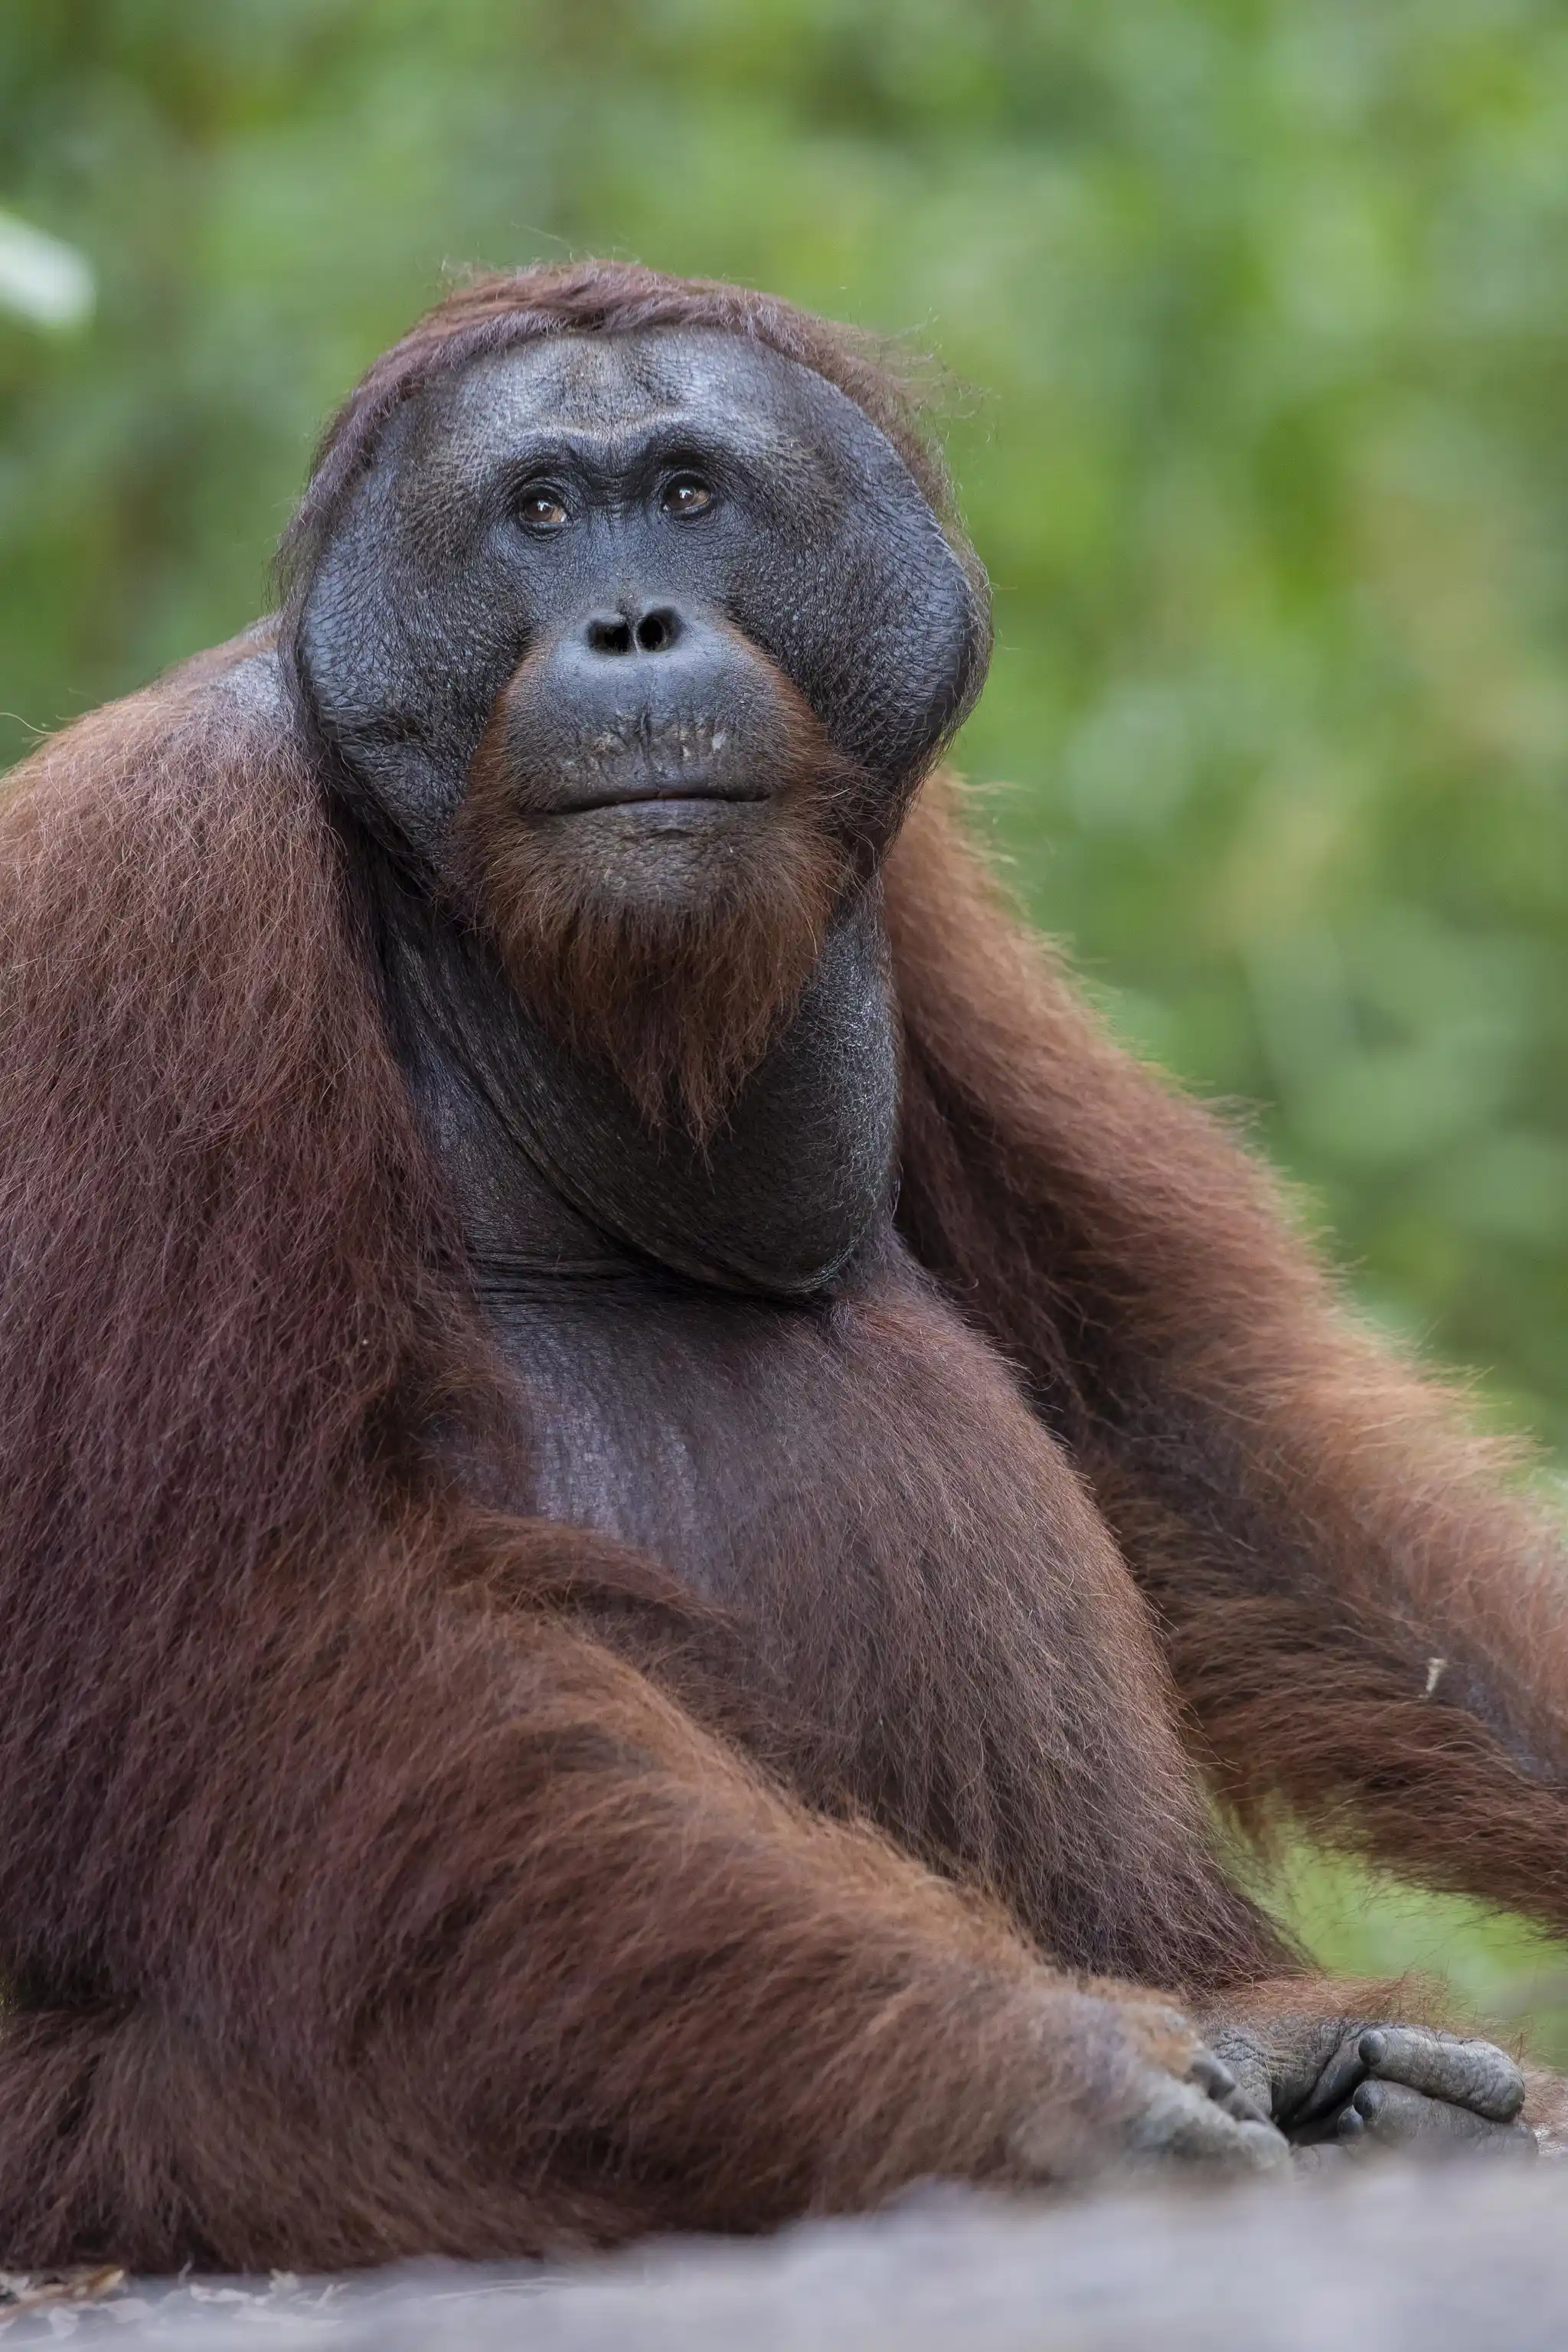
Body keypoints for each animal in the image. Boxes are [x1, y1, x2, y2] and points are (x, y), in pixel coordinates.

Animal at [0, 261, 1560, 2273]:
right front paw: (1037, 2064)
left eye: (684, 494)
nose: (632, 624)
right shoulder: (150, 902)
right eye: (538, 512)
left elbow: (1164, 1407)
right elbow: (222, 1613)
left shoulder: (922, 896)